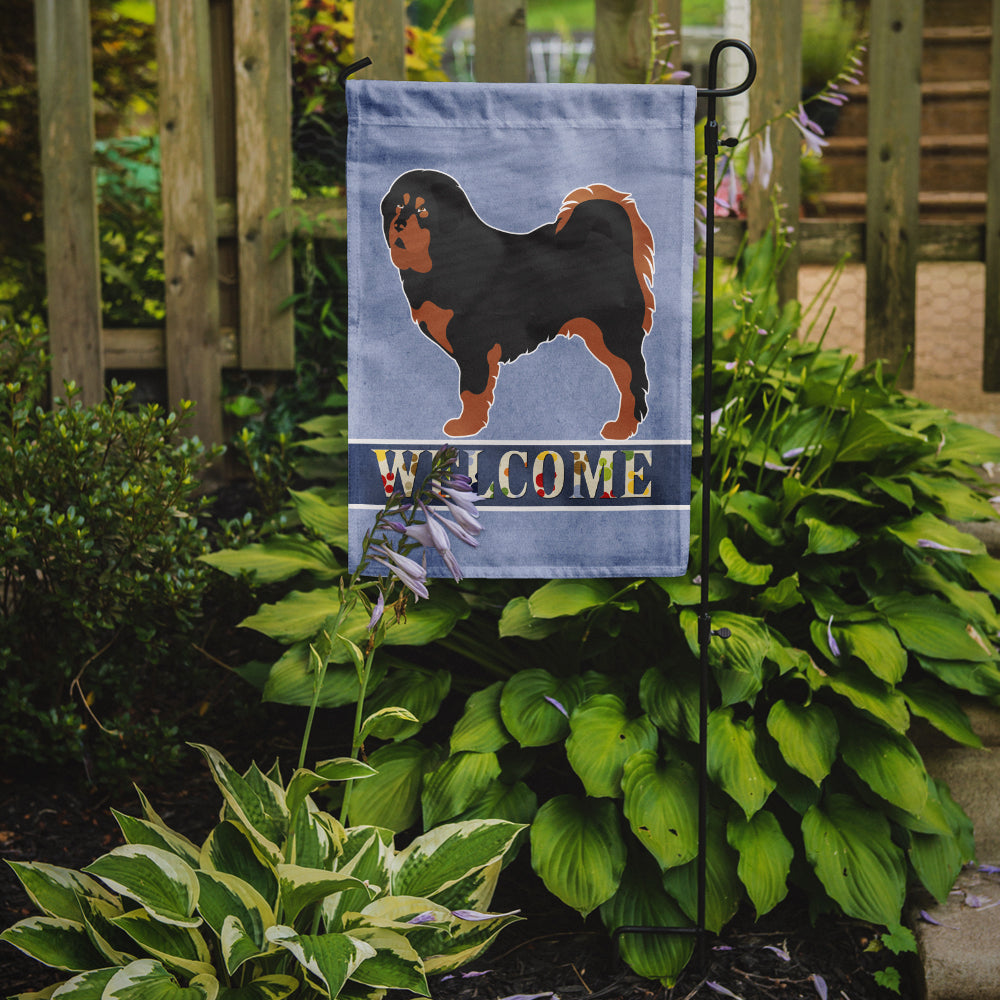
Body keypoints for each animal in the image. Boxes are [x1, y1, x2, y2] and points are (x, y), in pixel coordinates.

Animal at [382, 168, 656, 438]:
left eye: (423, 210)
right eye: (398, 205)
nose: (399, 224)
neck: (446, 257)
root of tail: (612, 242)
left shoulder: (475, 349)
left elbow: (471, 393)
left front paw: (466, 427)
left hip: (614, 335)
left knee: (632, 380)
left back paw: (623, 427)